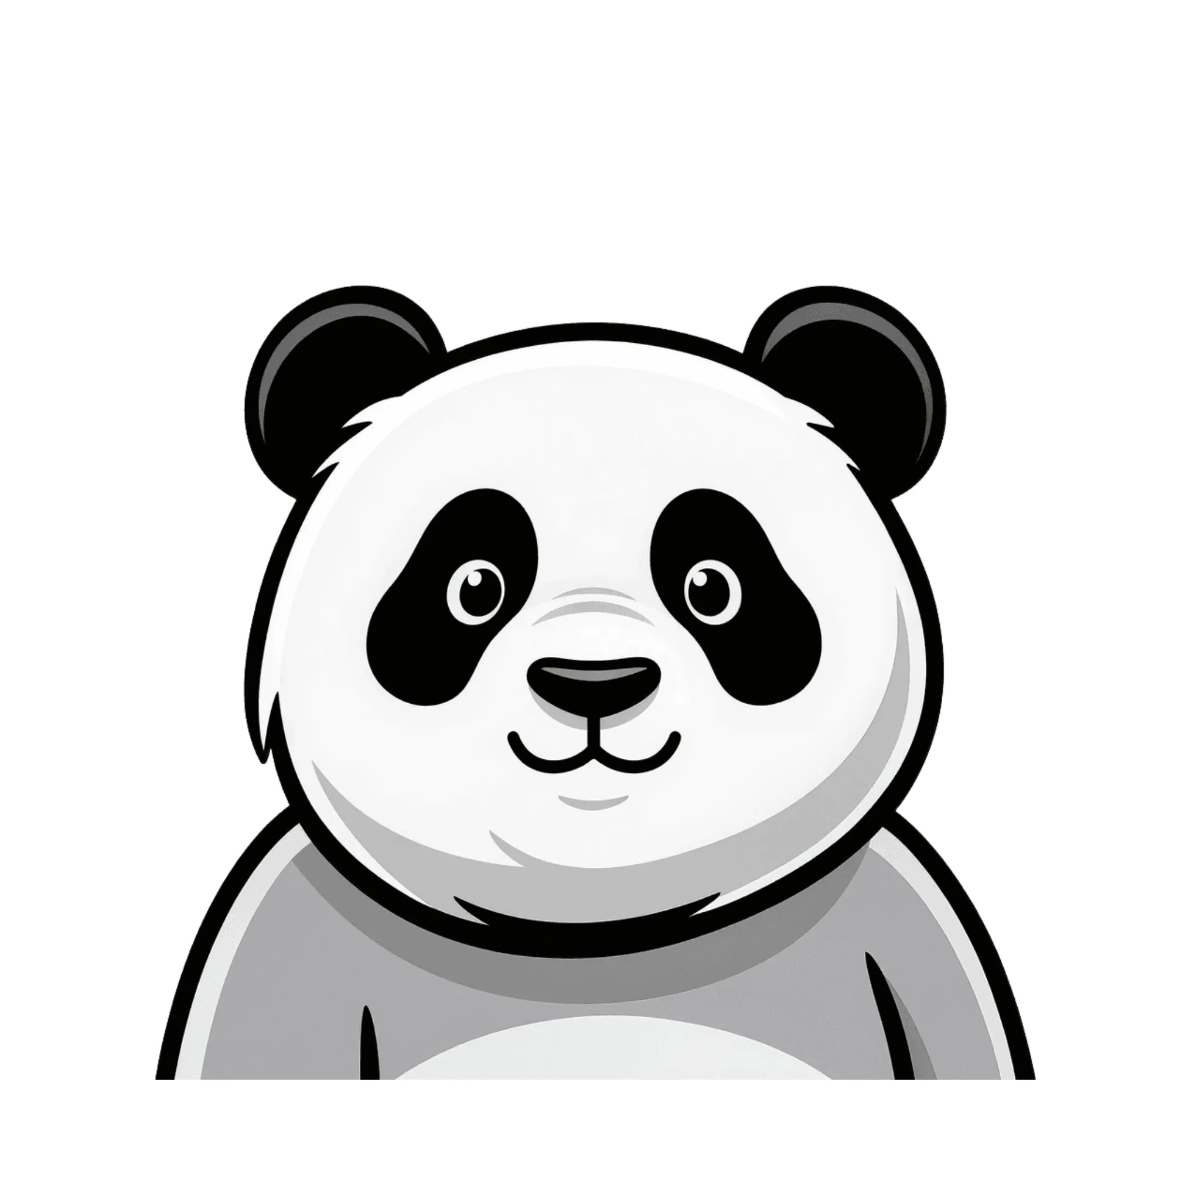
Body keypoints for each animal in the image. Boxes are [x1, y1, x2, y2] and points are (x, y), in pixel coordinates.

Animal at [158, 285, 1033, 1079]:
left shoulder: (894, 916)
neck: (598, 934)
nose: (594, 683)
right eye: (474, 587)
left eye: (713, 587)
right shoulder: (289, 926)